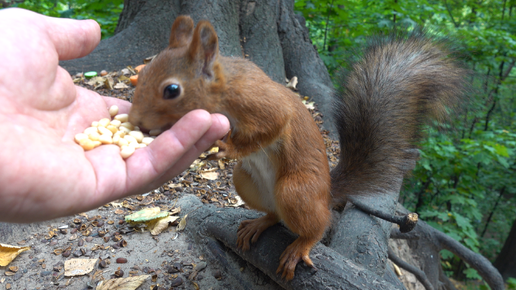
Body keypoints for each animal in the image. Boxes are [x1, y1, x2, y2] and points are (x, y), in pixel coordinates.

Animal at [127, 14, 466, 280]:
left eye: (172, 90)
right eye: (143, 74)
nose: (137, 122)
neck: (223, 89)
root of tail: (326, 193)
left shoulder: (263, 105)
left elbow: (271, 127)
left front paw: (229, 147)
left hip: (296, 190)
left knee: (319, 224)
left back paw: (300, 246)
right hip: (245, 180)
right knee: (275, 215)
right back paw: (260, 222)